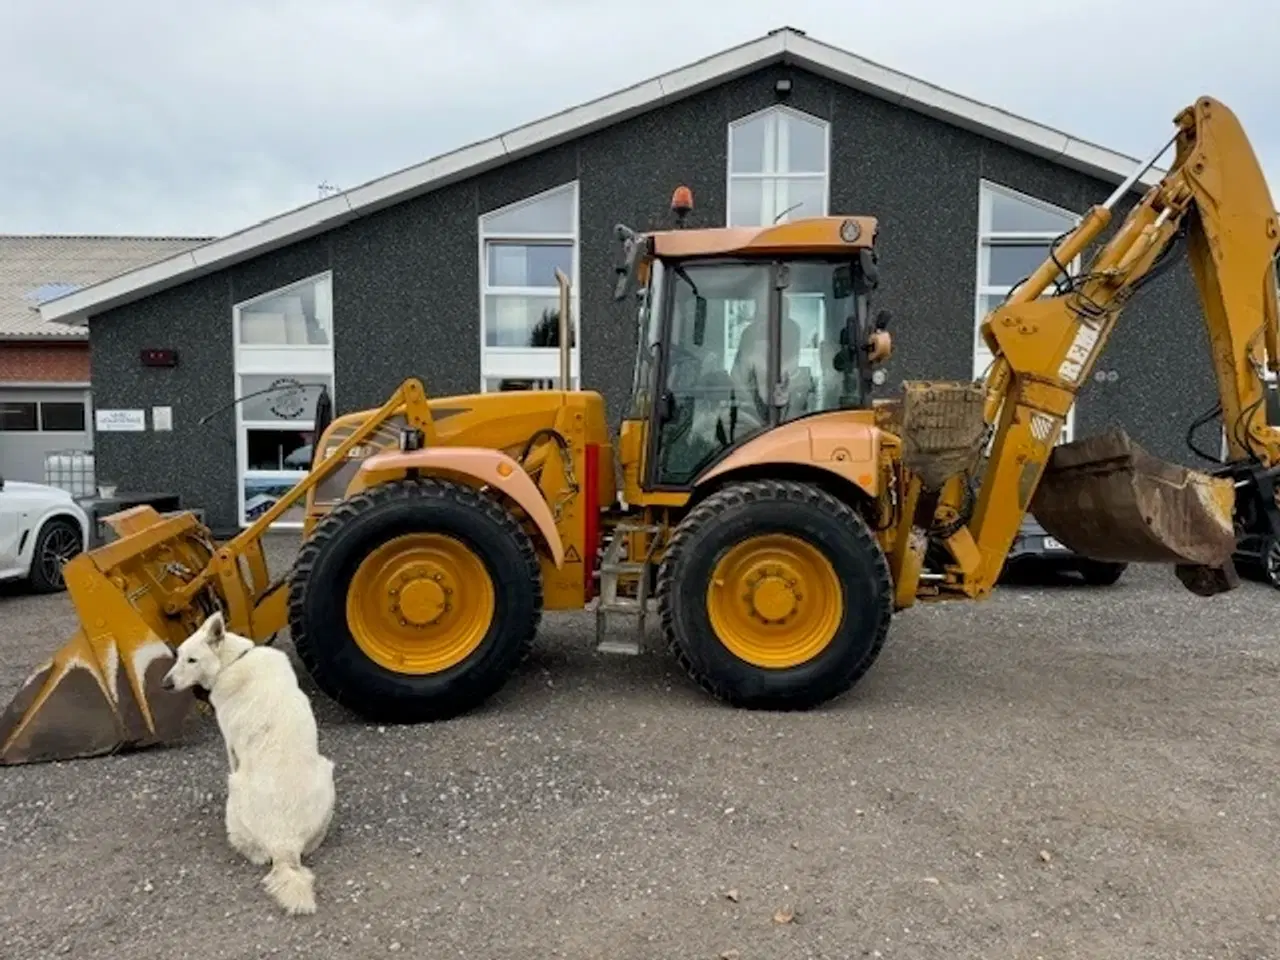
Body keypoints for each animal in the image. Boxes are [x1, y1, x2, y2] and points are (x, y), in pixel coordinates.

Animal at [162, 611, 335, 921]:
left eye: (192, 660)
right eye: (179, 656)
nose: (165, 684)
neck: (233, 660)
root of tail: (284, 844)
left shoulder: (230, 745)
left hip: (236, 794)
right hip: (327, 773)